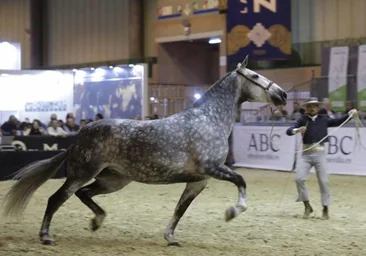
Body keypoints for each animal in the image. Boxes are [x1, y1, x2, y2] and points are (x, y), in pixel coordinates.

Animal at [3, 56, 288, 246]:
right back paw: (46, 236)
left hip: (114, 180)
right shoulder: (213, 169)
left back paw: (97, 222)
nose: (283, 94)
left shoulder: (199, 181)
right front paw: (232, 212)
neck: (209, 119)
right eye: (255, 76)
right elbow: (241, 181)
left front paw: (170, 238)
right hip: (81, 173)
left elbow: (180, 210)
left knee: (84, 195)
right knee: (57, 198)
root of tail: (79, 135)